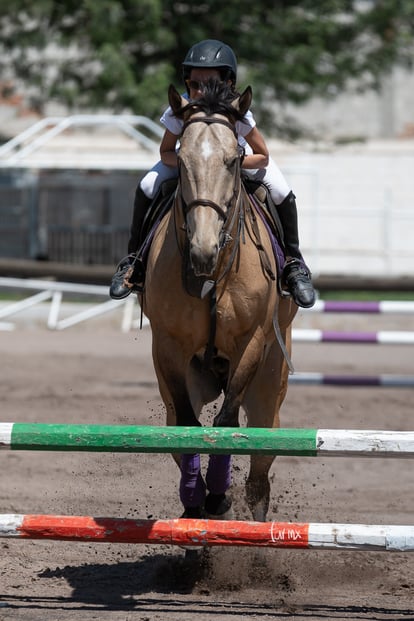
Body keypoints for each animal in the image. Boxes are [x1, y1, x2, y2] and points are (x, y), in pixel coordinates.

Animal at [143, 80, 298, 520]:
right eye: (182, 158)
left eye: (232, 161)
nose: (203, 252)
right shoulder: (169, 348)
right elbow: (187, 428)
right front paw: (198, 496)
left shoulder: (252, 343)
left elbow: (227, 423)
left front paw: (216, 493)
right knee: (179, 421)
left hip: (270, 385)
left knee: (259, 474)